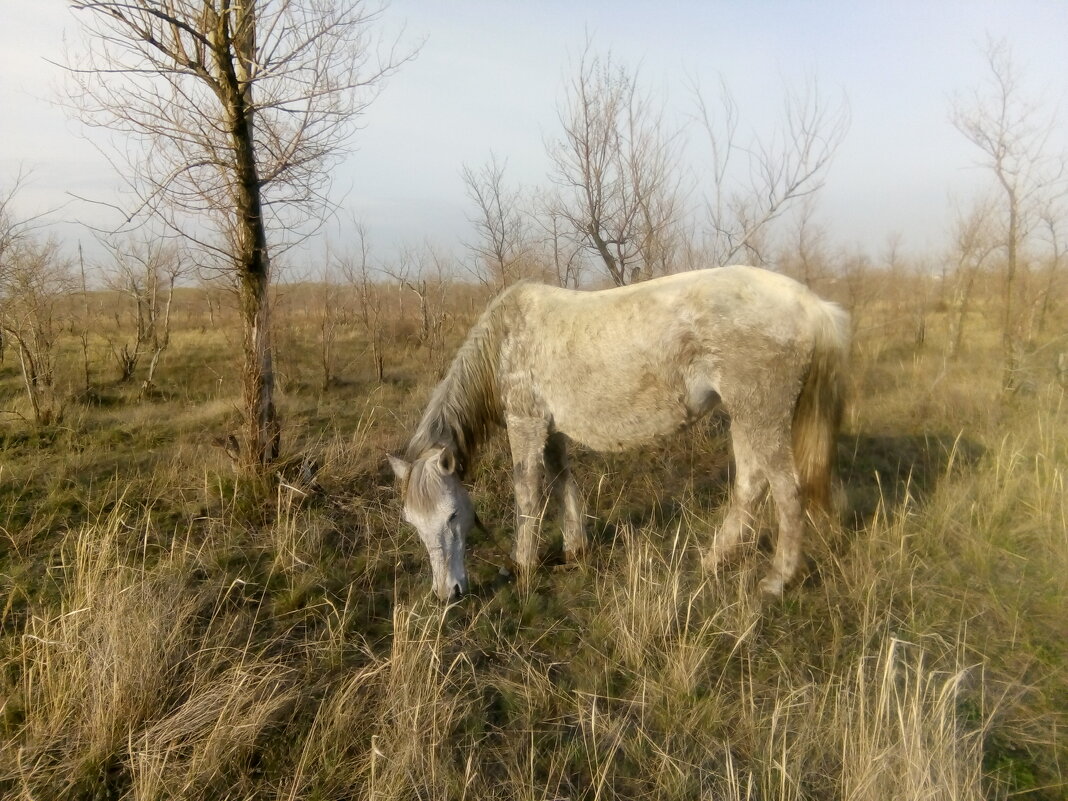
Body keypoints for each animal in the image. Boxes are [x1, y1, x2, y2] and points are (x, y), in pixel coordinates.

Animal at [388, 268, 845, 602]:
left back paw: (777, 580)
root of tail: (811, 306)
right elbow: (563, 482)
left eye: (452, 515)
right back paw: (713, 560)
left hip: (762, 416)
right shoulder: (552, 430)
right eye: (413, 522)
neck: (505, 337)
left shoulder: (527, 424)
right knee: (750, 484)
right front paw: (575, 550)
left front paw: (523, 565)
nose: (448, 594)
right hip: (745, 416)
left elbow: (528, 493)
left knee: (787, 491)